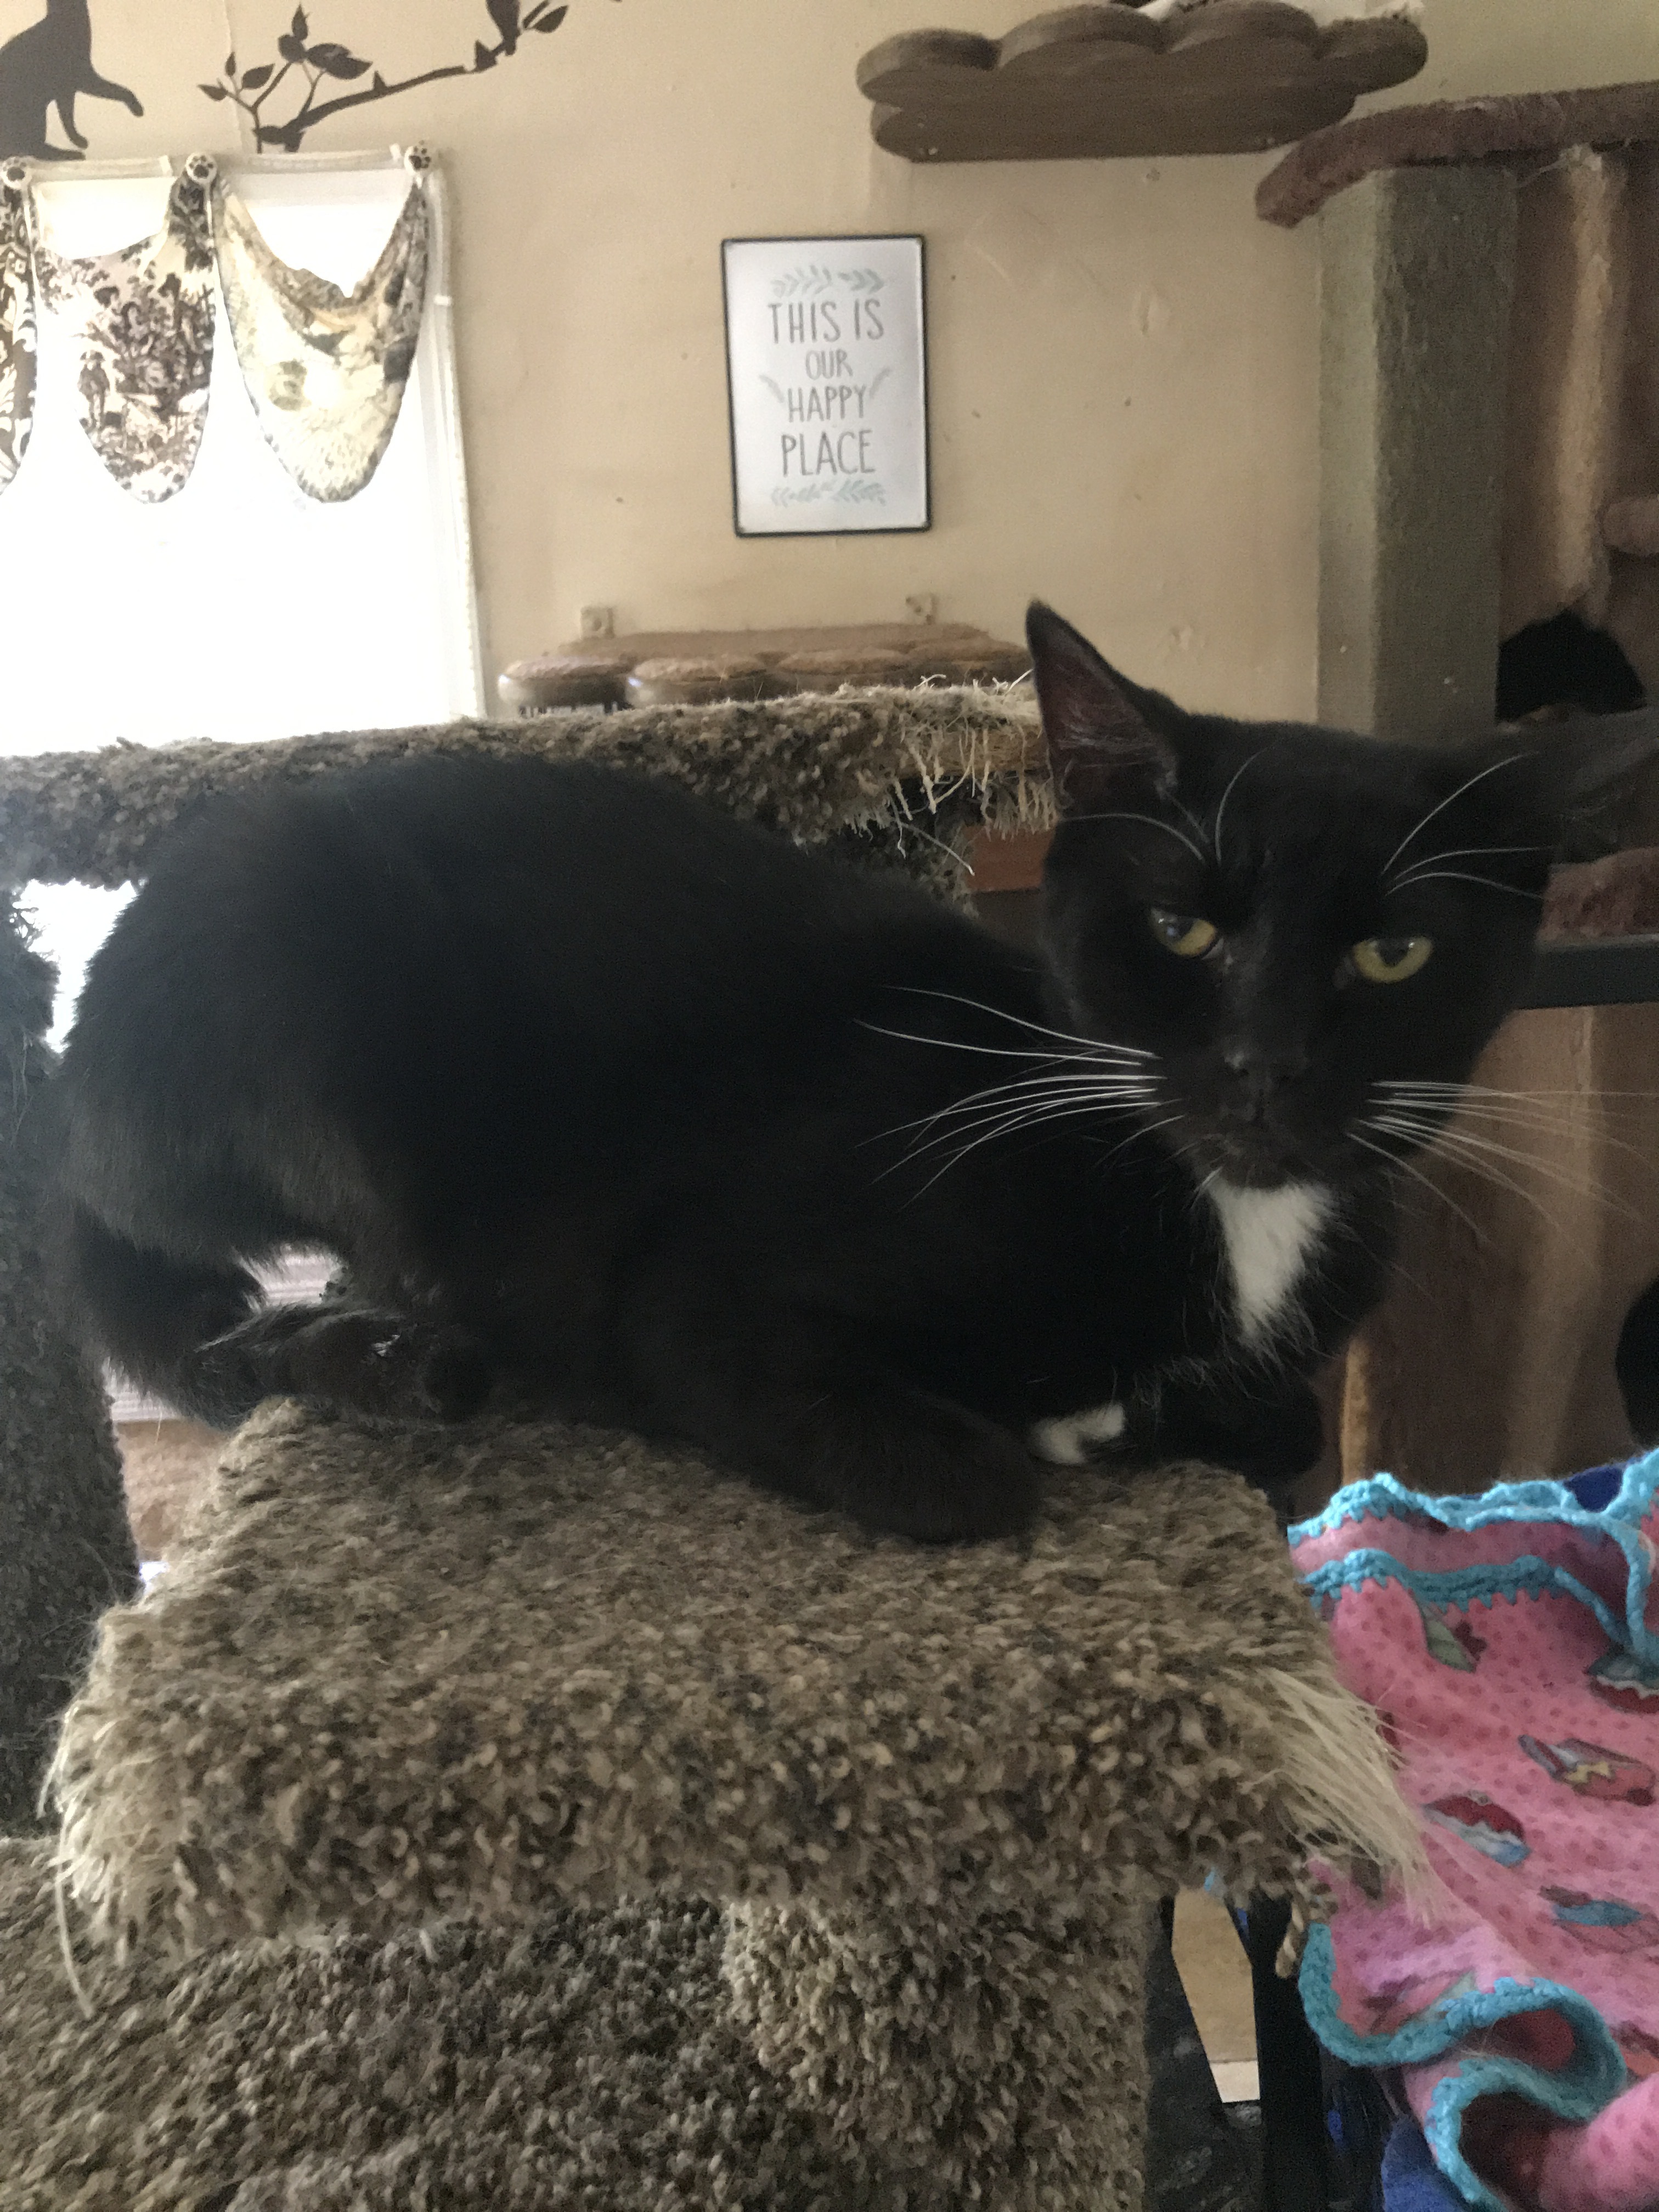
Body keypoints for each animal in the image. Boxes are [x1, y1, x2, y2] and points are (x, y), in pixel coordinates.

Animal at [0, 0, 142, 161]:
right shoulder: (82, 78)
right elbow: (119, 90)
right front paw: (137, 109)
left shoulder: (67, 91)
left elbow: (68, 117)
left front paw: (78, 140)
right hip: (33, 108)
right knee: (33, 146)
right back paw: (72, 154)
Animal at [48, 606, 1654, 1539]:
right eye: (1182, 928)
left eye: (1393, 956)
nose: (1266, 1065)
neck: (1229, 1213)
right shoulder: (701, 1297)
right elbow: (972, 1475)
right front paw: (1065, 1428)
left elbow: (1289, 1426)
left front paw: (1163, 1414)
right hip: (298, 969)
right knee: (251, 1317)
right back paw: (398, 1358)